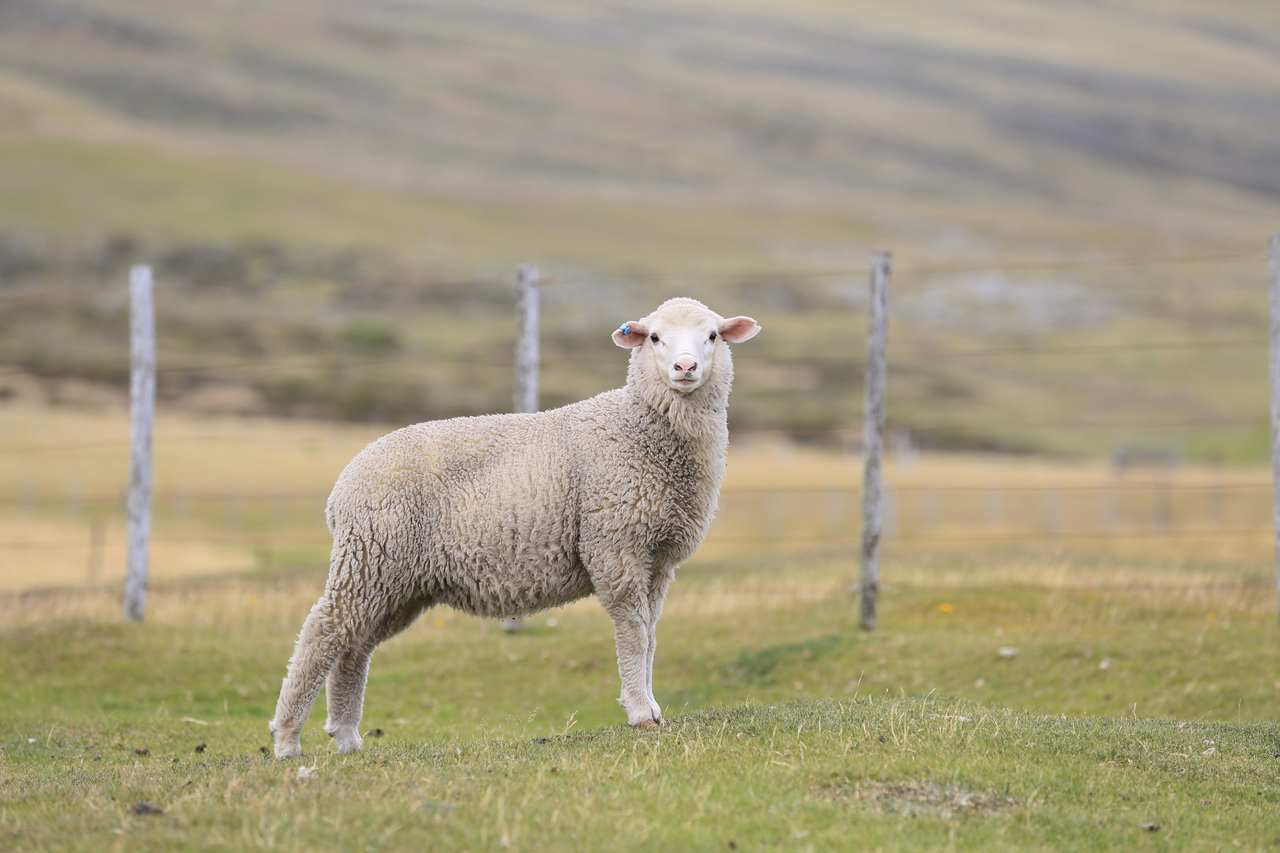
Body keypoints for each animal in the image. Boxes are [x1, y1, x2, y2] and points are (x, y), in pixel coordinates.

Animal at [264, 295, 752, 753]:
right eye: (654, 337)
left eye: (713, 336)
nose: (685, 367)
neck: (639, 428)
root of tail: (342, 485)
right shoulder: (616, 546)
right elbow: (632, 634)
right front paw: (639, 712)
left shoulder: (658, 558)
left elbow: (649, 635)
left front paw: (650, 705)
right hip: (370, 555)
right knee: (321, 633)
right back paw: (287, 739)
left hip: (397, 581)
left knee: (354, 647)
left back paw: (346, 737)